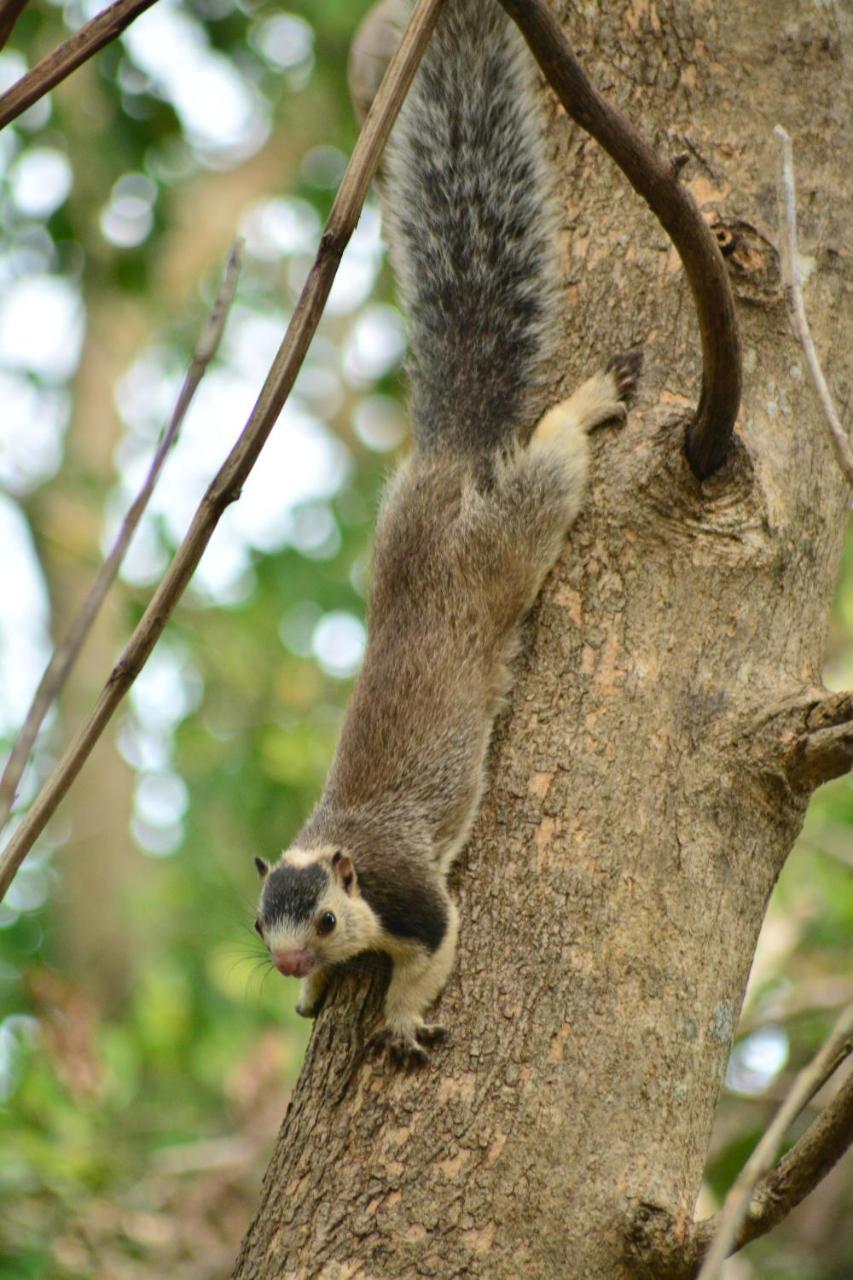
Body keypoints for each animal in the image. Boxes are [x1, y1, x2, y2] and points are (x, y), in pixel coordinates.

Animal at [252, 0, 637, 1064]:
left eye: (324, 917)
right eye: (259, 924)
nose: (290, 965)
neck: (337, 843)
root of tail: (449, 460)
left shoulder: (410, 894)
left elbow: (428, 954)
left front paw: (395, 1020)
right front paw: (313, 999)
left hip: (507, 540)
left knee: (546, 470)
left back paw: (585, 405)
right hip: (396, 531)